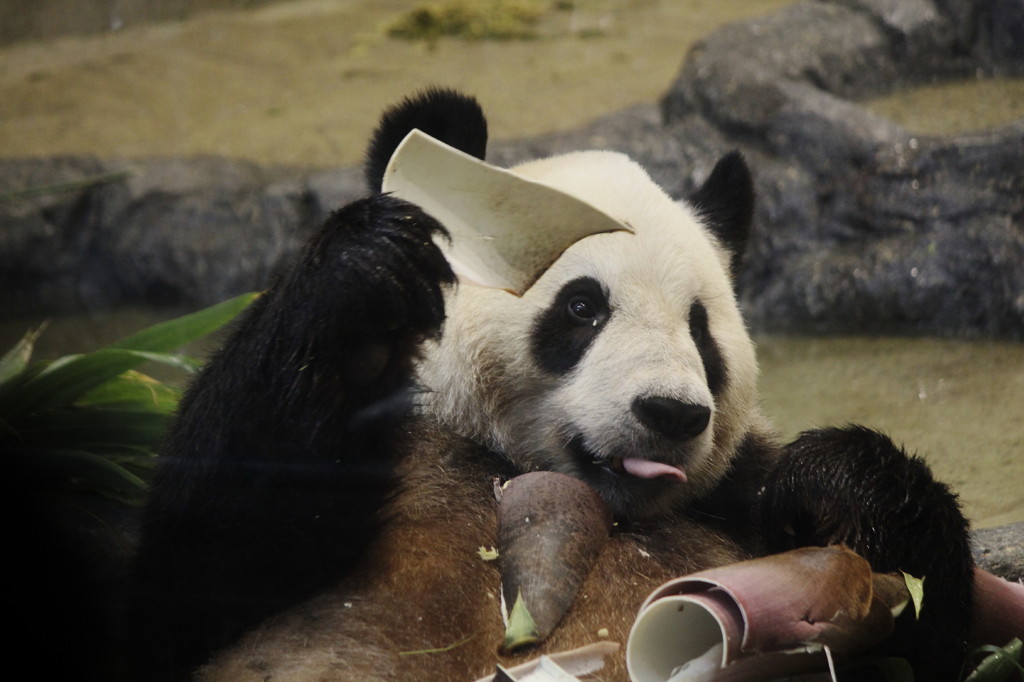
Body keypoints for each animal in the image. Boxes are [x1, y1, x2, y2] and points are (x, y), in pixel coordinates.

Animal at [130, 89, 974, 679]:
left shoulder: (735, 510)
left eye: (701, 329)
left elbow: (931, 640)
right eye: (582, 306)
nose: (670, 412)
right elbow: (197, 559)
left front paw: (838, 485)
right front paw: (368, 280)